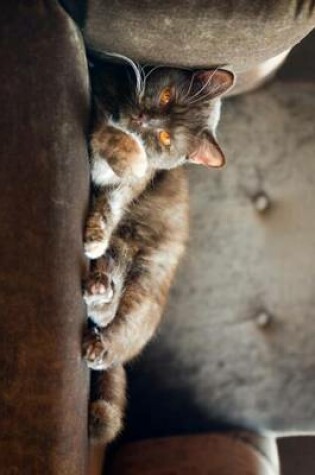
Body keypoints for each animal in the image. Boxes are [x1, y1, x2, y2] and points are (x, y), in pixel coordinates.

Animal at [82, 60, 235, 446]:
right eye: (166, 96)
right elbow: (110, 137)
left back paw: (100, 318)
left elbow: (111, 201)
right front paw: (129, 152)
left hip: (145, 283)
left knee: (116, 332)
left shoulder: (124, 189)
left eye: (166, 139)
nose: (144, 120)